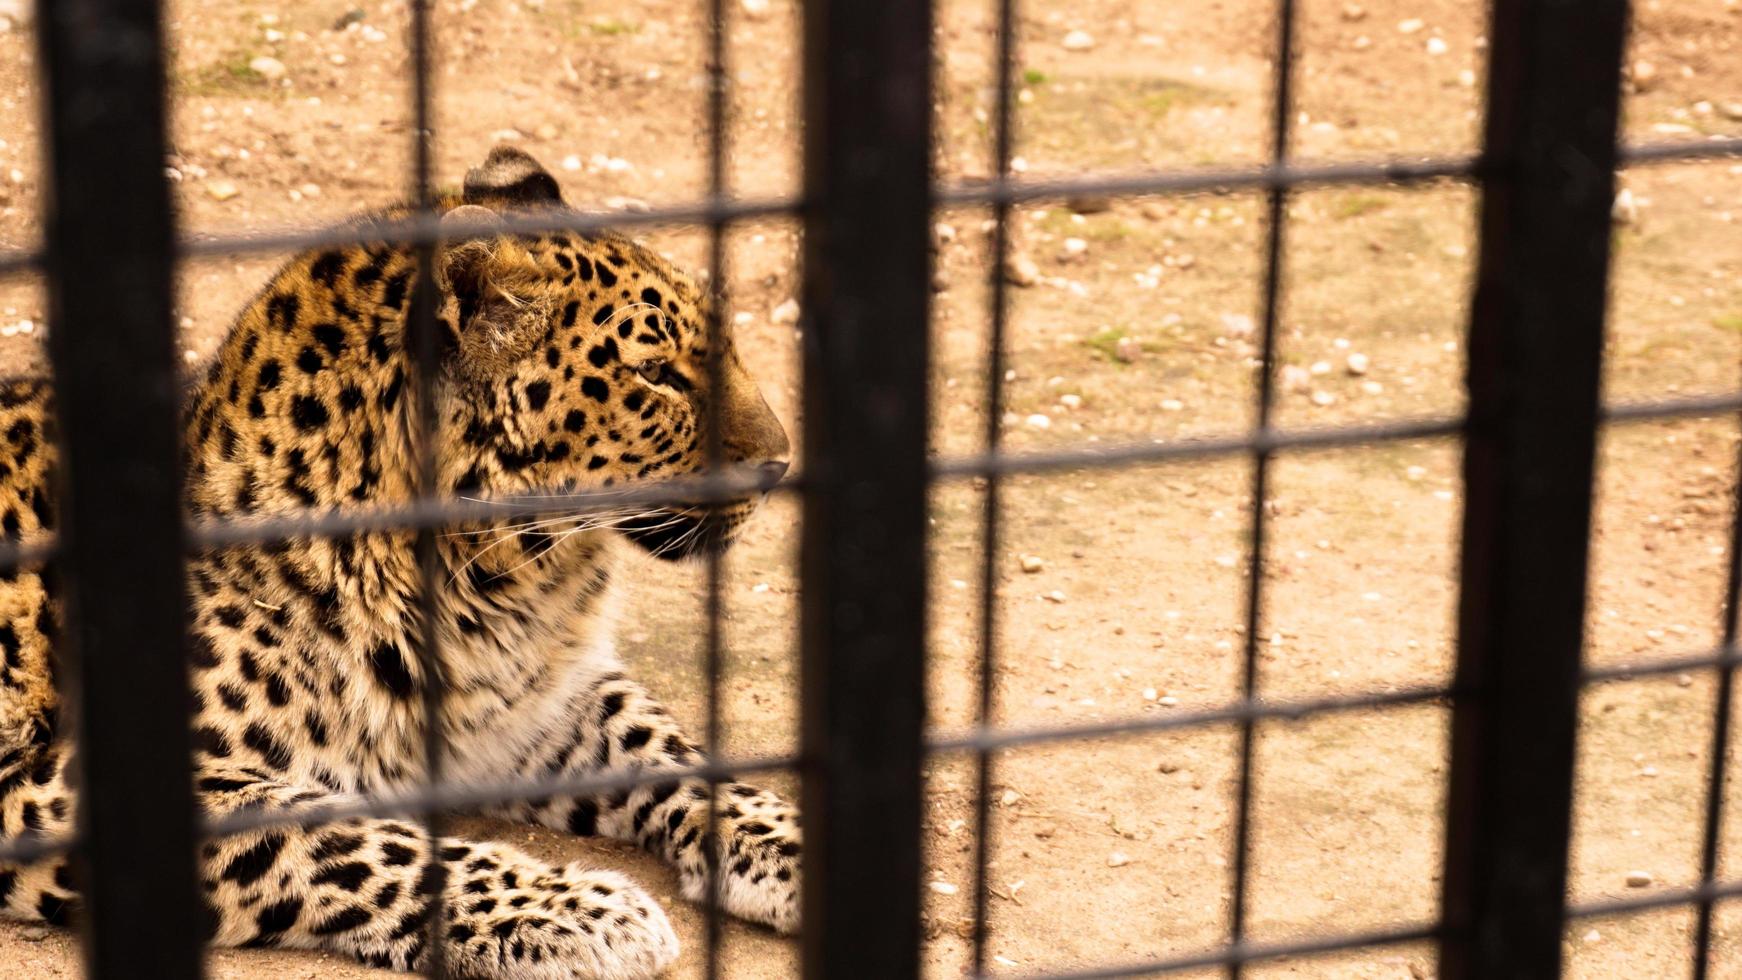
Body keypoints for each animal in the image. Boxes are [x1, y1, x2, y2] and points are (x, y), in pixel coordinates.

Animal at [0, 147, 797, 980]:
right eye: (657, 374)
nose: (780, 464)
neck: (501, 590)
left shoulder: (527, 705)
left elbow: (664, 746)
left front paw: (792, 844)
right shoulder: (65, 786)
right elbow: (335, 834)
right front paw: (576, 911)